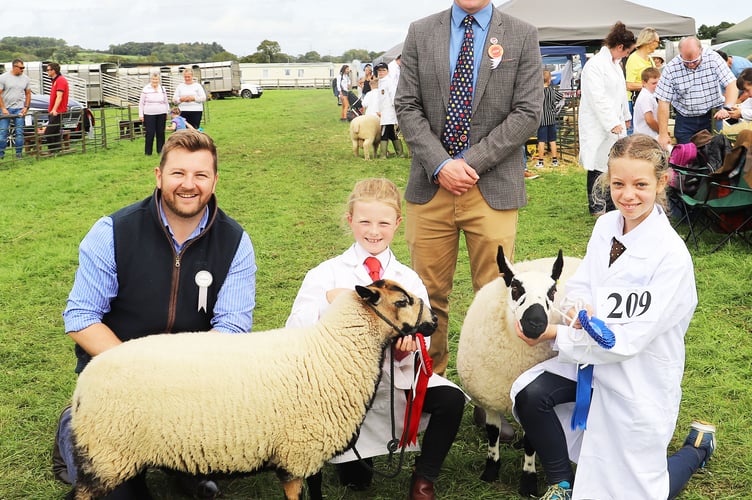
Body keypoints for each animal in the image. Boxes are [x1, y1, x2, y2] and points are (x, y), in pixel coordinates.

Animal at [70, 280, 438, 498]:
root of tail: (81, 389)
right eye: (402, 301)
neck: (330, 352)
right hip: (108, 454)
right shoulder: (298, 452)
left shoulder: (306, 451)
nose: (434, 321)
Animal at [452, 246, 580, 496]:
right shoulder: (489, 397)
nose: (536, 323)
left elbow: (533, 441)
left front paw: (527, 481)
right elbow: (493, 433)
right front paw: (491, 471)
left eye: (552, 291)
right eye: (515, 288)